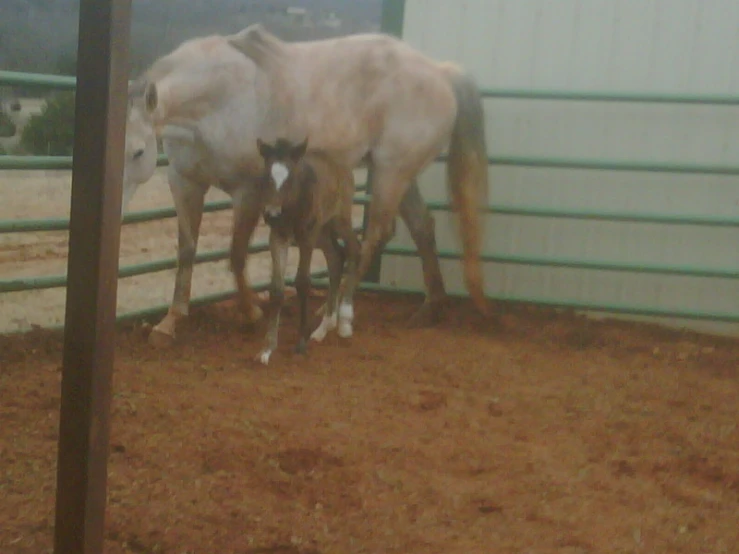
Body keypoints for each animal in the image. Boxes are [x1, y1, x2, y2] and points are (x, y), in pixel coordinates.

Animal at [256, 136, 362, 364]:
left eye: (290, 178)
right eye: (267, 175)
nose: (272, 214)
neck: (293, 207)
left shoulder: (307, 238)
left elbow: (303, 282)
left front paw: (300, 344)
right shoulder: (277, 237)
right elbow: (276, 289)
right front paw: (267, 349)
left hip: (338, 221)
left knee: (354, 250)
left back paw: (344, 321)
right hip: (323, 232)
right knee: (336, 258)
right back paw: (324, 326)